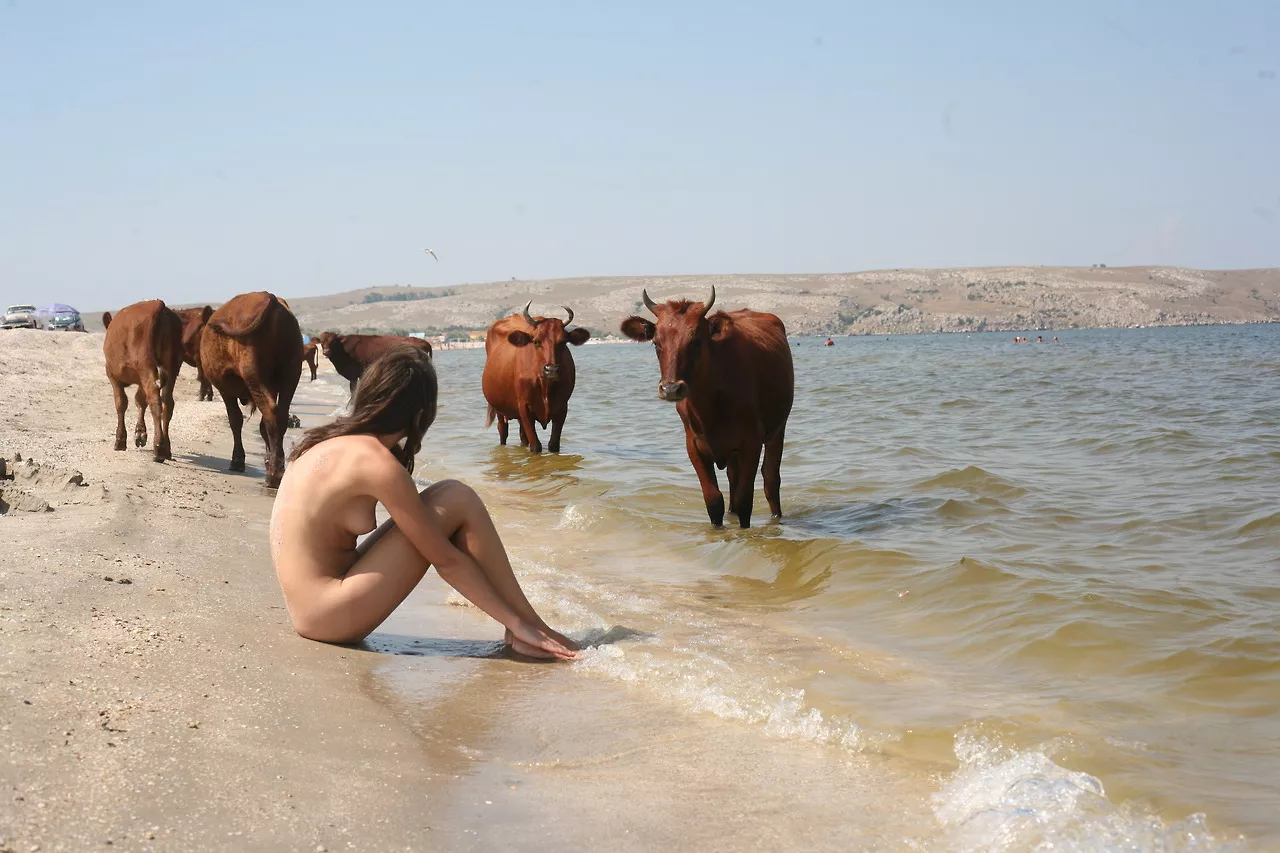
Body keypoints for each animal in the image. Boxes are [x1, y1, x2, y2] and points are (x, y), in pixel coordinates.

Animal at [102, 300, 184, 463]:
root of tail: (157, 304)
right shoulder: (141, 379)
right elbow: (140, 400)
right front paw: (140, 433)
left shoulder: (112, 375)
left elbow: (121, 403)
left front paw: (120, 440)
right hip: (172, 367)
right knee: (167, 403)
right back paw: (166, 449)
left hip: (146, 366)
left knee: (155, 400)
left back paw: (158, 448)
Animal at [199, 291, 302, 489]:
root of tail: (268, 297)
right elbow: (261, 427)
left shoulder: (225, 390)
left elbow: (235, 420)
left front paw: (237, 460)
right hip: (291, 376)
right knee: (279, 417)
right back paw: (276, 468)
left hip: (254, 376)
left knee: (270, 412)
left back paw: (274, 475)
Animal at [481, 302, 589, 453]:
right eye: (537, 342)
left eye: (563, 342)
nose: (551, 369)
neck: (545, 386)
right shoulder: (524, 408)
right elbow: (536, 446)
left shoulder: (562, 408)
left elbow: (553, 445)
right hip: (499, 410)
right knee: (503, 432)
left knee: (522, 436)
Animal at [621, 287, 793, 528]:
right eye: (656, 342)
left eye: (696, 341)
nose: (671, 388)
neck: (709, 405)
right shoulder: (693, 445)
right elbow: (713, 499)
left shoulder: (751, 442)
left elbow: (745, 500)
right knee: (733, 479)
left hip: (778, 429)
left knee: (770, 479)